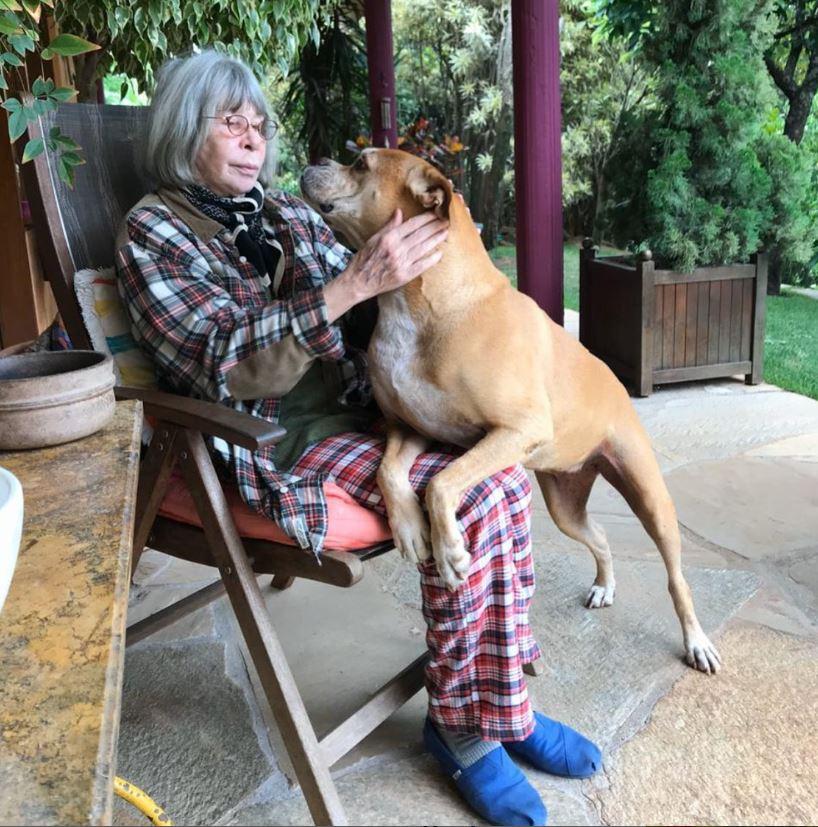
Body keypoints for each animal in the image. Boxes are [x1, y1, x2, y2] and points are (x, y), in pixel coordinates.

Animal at [301, 148, 721, 674]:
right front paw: (411, 531)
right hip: (565, 507)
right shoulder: (409, 428)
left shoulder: (514, 431)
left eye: (360, 163)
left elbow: (441, 483)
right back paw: (604, 584)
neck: (420, 302)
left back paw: (696, 640)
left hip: (651, 500)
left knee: (675, 577)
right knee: (601, 535)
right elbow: (389, 473)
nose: (314, 160)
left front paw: (450, 552)